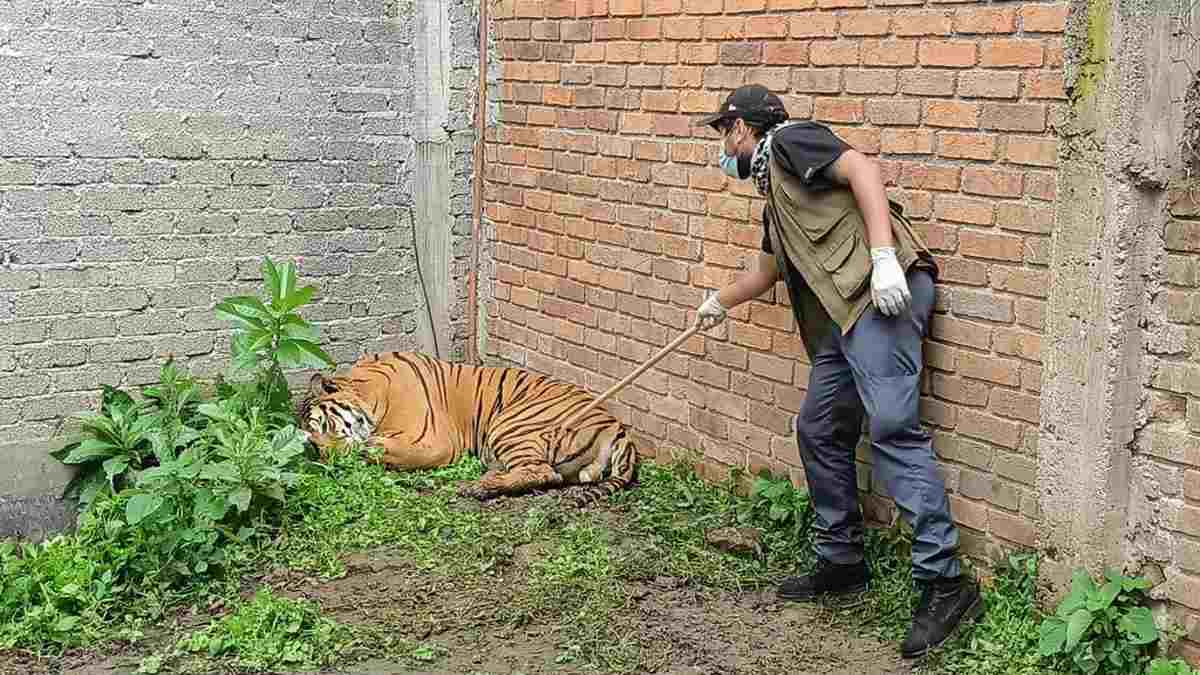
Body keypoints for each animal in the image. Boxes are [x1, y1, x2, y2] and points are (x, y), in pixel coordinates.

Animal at [296, 350, 640, 506]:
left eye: (324, 426)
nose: (326, 459)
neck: (370, 393)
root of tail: (617, 428)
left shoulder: (435, 442)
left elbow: (381, 448)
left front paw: (366, 450)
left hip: (510, 423)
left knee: (543, 472)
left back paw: (477, 487)